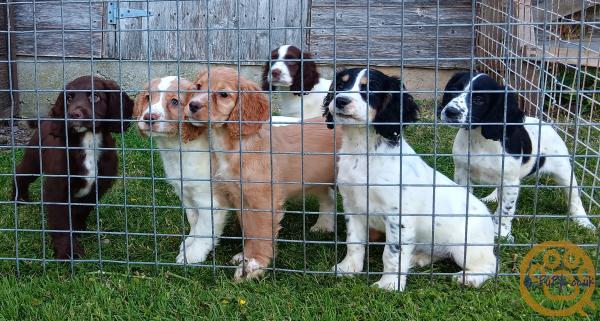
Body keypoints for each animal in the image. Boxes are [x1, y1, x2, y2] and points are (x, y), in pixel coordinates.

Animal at [13, 75, 134, 258]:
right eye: (69, 99)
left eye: (95, 97)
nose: (72, 114)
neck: (88, 140)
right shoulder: (56, 188)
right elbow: (60, 222)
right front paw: (68, 252)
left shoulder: (98, 186)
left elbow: (81, 210)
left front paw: (77, 228)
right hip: (34, 159)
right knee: (20, 172)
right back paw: (18, 198)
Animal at [133, 77, 225, 262]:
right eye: (148, 97)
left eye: (175, 101)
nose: (148, 117)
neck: (176, 148)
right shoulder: (186, 193)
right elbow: (193, 219)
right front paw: (189, 242)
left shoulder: (209, 201)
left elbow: (204, 230)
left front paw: (192, 255)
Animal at [185, 67, 340, 280]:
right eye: (198, 86)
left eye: (223, 94)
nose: (192, 105)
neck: (236, 145)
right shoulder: (240, 197)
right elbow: (249, 229)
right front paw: (244, 256)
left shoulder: (263, 201)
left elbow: (260, 232)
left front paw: (254, 265)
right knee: (328, 198)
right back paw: (324, 225)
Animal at [324, 69, 496, 292]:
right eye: (340, 86)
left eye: (369, 89)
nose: (340, 100)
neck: (362, 150)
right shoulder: (352, 206)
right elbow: (354, 242)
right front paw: (348, 268)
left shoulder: (398, 216)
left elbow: (392, 252)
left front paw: (389, 284)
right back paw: (418, 258)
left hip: (466, 247)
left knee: (491, 265)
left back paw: (469, 278)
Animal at [438, 70, 596, 240]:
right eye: (454, 90)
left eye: (479, 99)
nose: (450, 112)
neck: (478, 138)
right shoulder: (462, 173)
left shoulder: (510, 182)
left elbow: (505, 210)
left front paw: (501, 233)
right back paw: (492, 197)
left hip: (564, 172)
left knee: (574, 198)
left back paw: (584, 222)